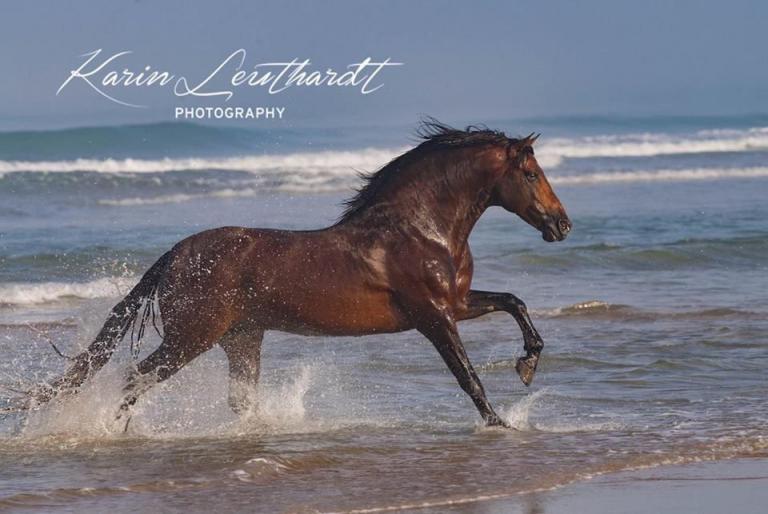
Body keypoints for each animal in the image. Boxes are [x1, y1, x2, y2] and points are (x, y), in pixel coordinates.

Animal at [29, 120, 571, 428]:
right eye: (530, 174)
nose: (561, 224)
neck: (420, 229)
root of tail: (176, 254)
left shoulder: (456, 304)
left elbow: (515, 301)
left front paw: (527, 366)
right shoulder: (434, 316)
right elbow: (468, 377)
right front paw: (499, 423)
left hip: (241, 338)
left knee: (237, 400)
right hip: (191, 338)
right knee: (134, 377)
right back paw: (116, 431)